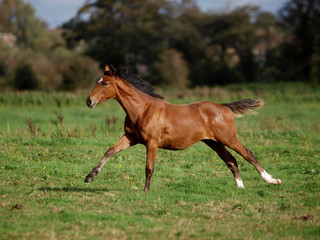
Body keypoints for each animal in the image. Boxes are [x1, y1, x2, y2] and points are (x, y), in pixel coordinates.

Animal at [84, 64, 282, 191]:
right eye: (98, 81)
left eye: (105, 83)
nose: (89, 101)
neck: (142, 109)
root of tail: (223, 106)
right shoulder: (131, 138)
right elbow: (110, 151)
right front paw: (89, 176)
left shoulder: (152, 142)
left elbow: (149, 168)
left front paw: (146, 192)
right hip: (214, 142)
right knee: (231, 160)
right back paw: (240, 188)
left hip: (229, 138)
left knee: (248, 153)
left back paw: (273, 180)